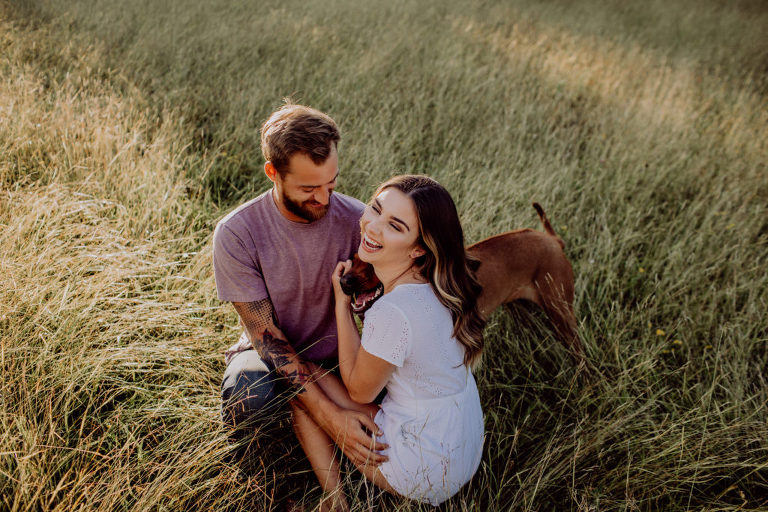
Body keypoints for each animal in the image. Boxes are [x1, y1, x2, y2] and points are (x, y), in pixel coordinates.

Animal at [340, 203, 583, 360]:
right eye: (353, 260)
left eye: (373, 266)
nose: (343, 281)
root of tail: (553, 240)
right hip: (521, 310)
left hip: (561, 315)